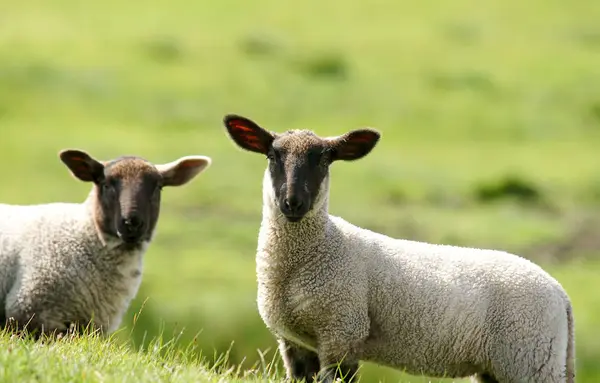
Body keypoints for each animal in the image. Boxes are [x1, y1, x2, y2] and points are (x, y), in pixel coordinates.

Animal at [223, 114, 576, 383]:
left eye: (324, 159)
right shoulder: (294, 342)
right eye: (272, 157)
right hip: (504, 367)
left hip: (529, 360)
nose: (293, 203)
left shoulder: (343, 334)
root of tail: (561, 294)